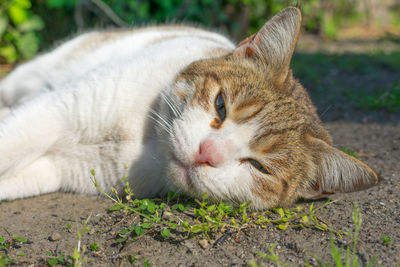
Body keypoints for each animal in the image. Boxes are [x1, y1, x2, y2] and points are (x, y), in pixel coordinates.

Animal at [0, 7, 378, 210]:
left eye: (260, 167)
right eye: (221, 105)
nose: (206, 152)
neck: (146, 144)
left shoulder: (55, 168)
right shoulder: (60, 109)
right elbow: (11, 144)